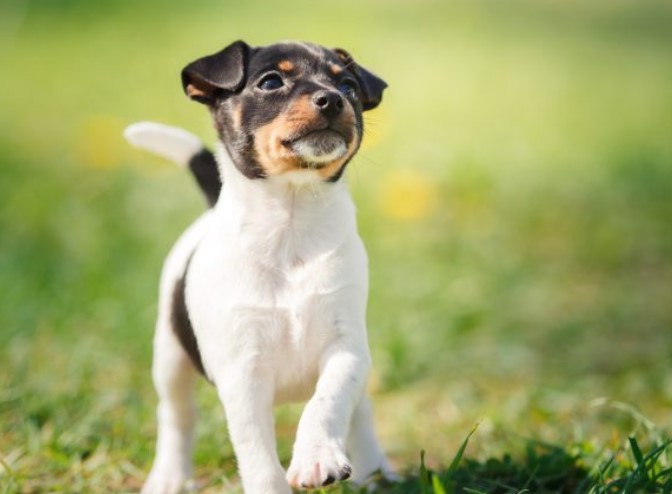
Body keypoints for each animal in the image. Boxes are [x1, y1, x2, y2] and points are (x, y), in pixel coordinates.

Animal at [123, 40, 392, 492]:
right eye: (270, 82)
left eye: (349, 86)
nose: (332, 99)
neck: (291, 222)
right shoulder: (242, 373)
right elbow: (259, 457)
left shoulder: (347, 348)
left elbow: (327, 402)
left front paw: (317, 456)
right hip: (170, 358)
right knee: (177, 416)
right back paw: (169, 477)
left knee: (361, 415)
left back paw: (375, 470)